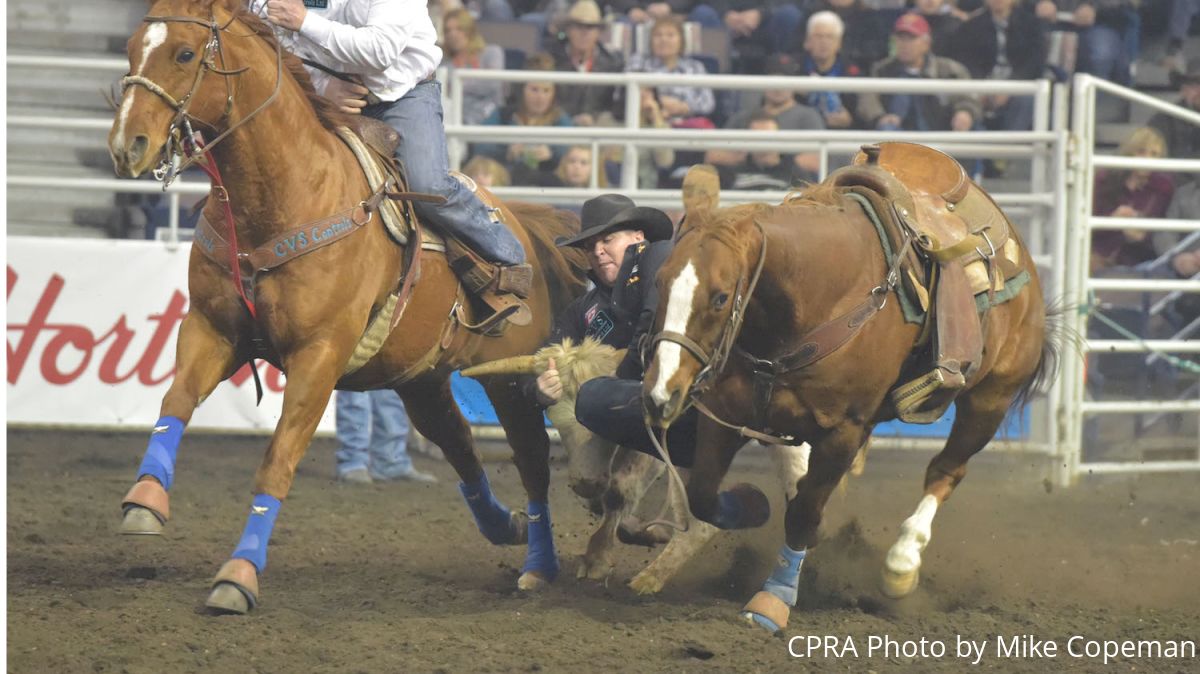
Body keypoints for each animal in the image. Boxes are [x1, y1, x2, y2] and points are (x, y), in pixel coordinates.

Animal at [108, 0, 585, 611]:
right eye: (131, 49)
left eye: (186, 53)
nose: (127, 146)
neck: (286, 193)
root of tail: (528, 229)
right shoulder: (211, 328)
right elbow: (176, 401)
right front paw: (145, 501)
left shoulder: (319, 356)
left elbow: (277, 461)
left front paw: (238, 576)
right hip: (421, 379)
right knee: (459, 446)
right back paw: (506, 526)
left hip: (511, 378)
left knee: (531, 461)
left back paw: (538, 565)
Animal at [643, 171, 1056, 628]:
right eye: (659, 281)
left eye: (719, 298)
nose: (661, 393)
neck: (817, 299)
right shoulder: (724, 414)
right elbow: (703, 495)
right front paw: (751, 506)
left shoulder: (843, 431)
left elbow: (804, 512)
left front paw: (773, 600)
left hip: (989, 401)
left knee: (946, 470)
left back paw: (901, 565)